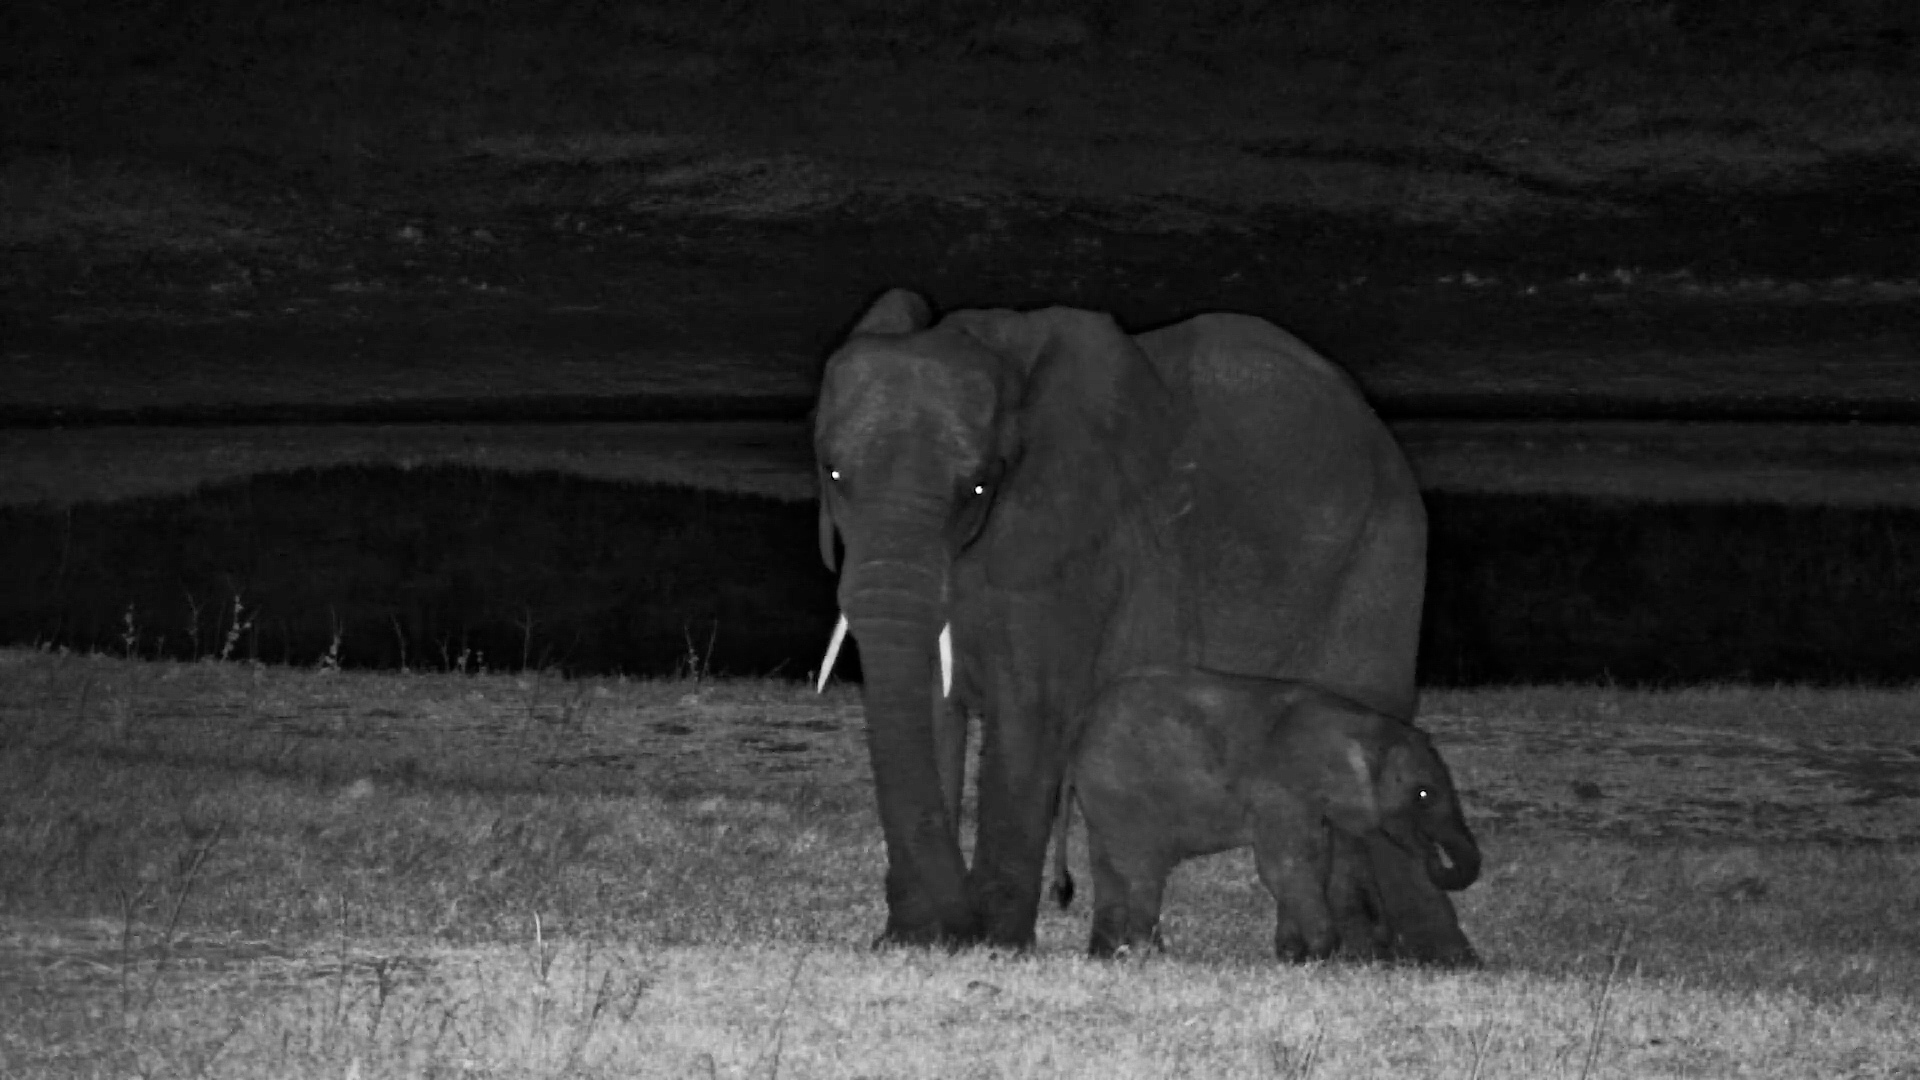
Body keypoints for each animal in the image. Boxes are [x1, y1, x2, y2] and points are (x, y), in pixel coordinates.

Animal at [1065, 670, 1480, 961]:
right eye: (1423, 795)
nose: (1432, 857)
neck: (1364, 724)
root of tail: (1082, 721)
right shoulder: (1282, 790)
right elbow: (1285, 865)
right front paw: (1320, 956)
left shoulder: (1306, 802)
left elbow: (1315, 863)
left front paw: (1293, 958)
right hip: (1124, 792)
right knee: (1143, 868)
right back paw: (1149, 954)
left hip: (1104, 798)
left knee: (1107, 867)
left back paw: (1105, 955)